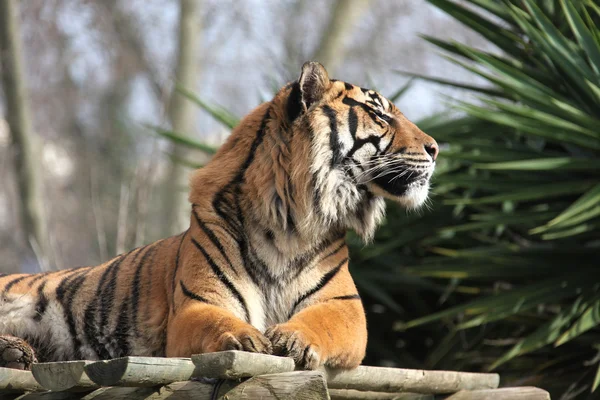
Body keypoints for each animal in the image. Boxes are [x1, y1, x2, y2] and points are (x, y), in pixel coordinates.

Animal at [1, 62, 440, 372]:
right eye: (380, 116)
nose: (436, 148)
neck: (290, 222)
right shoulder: (196, 305)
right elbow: (217, 323)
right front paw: (248, 340)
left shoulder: (345, 306)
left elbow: (322, 322)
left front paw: (293, 339)